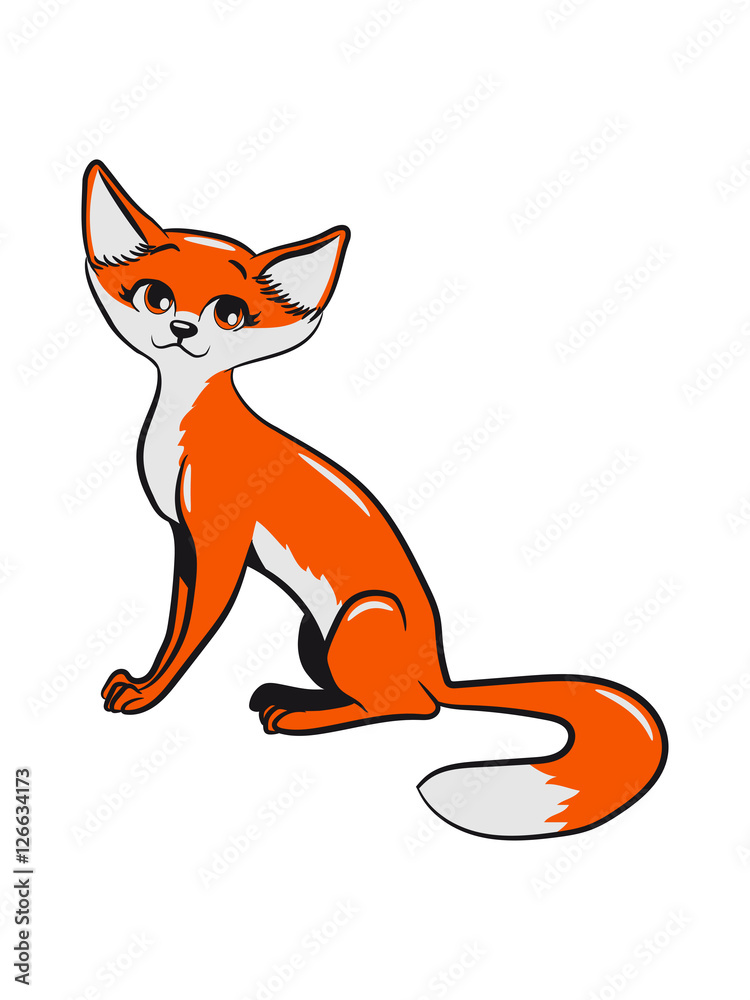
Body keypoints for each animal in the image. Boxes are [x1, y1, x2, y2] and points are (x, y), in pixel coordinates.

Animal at [82, 160, 667, 840]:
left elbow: (189, 639)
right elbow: (174, 625)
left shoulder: (220, 544)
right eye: (155, 296)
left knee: (414, 710)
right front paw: (143, 683)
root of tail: (439, 669)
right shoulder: (185, 541)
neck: (188, 427)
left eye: (230, 313)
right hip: (315, 640)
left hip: (362, 618)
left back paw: (302, 718)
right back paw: (297, 699)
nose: (181, 330)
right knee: (385, 700)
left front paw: (150, 697)